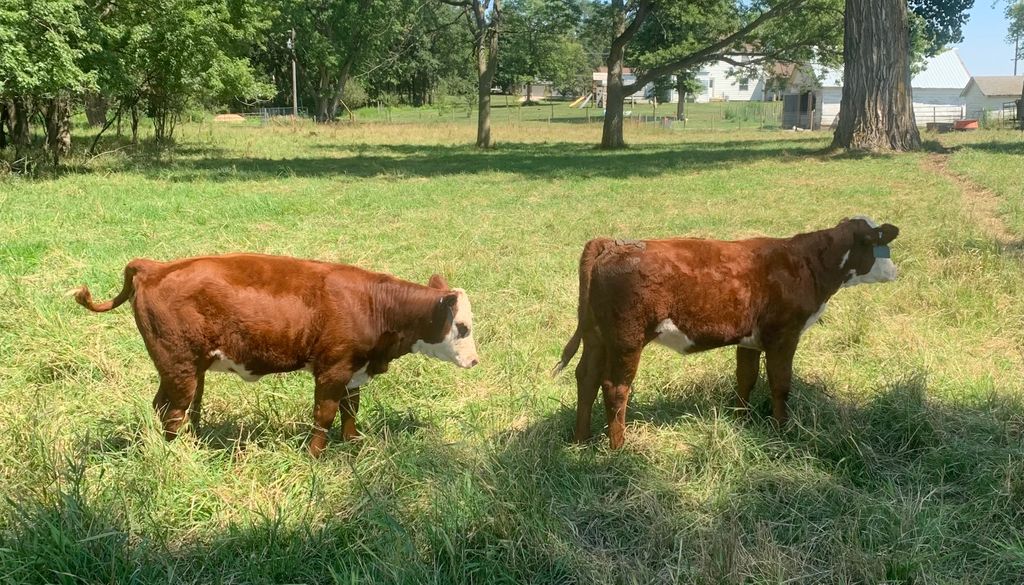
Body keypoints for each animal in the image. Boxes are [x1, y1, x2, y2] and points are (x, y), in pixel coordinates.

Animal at [73, 254, 480, 456]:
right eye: (462, 327)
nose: (475, 361)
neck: (373, 303)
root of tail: (156, 267)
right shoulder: (332, 369)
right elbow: (325, 413)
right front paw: (315, 456)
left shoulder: (354, 369)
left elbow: (350, 409)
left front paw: (353, 444)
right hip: (179, 366)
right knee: (174, 412)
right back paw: (178, 456)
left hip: (181, 368)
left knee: (169, 408)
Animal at [553, 217, 899, 449]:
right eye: (878, 244)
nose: (896, 272)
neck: (806, 263)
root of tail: (613, 243)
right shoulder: (783, 335)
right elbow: (780, 385)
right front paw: (781, 429)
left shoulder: (750, 340)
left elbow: (746, 378)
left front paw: (741, 419)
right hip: (627, 339)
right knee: (615, 388)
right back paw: (619, 448)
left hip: (597, 335)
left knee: (587, 378)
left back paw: (581, 439)